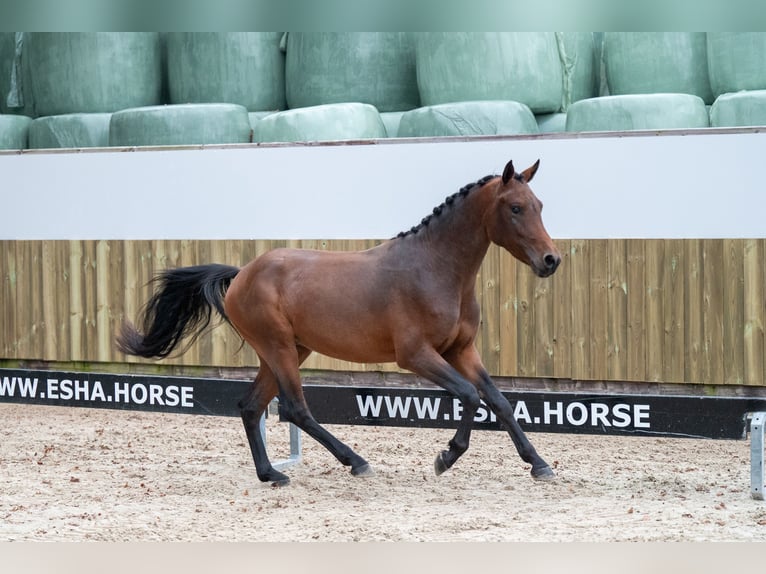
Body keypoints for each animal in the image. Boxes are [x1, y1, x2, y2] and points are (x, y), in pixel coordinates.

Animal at [118, 160, 564, 488]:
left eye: (540, 205)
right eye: (515, 208)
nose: (551, 260)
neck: (436, 269)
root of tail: (243, 273)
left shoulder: (462, 350)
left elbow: (499, 401)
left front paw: (539, 464)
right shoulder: (416, 355)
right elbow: (470, 396)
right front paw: (445, 457)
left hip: (286, 351)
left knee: (250, 407)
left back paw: (272, 473)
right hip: (280, 350)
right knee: (295, 409)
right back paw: (354, 461)